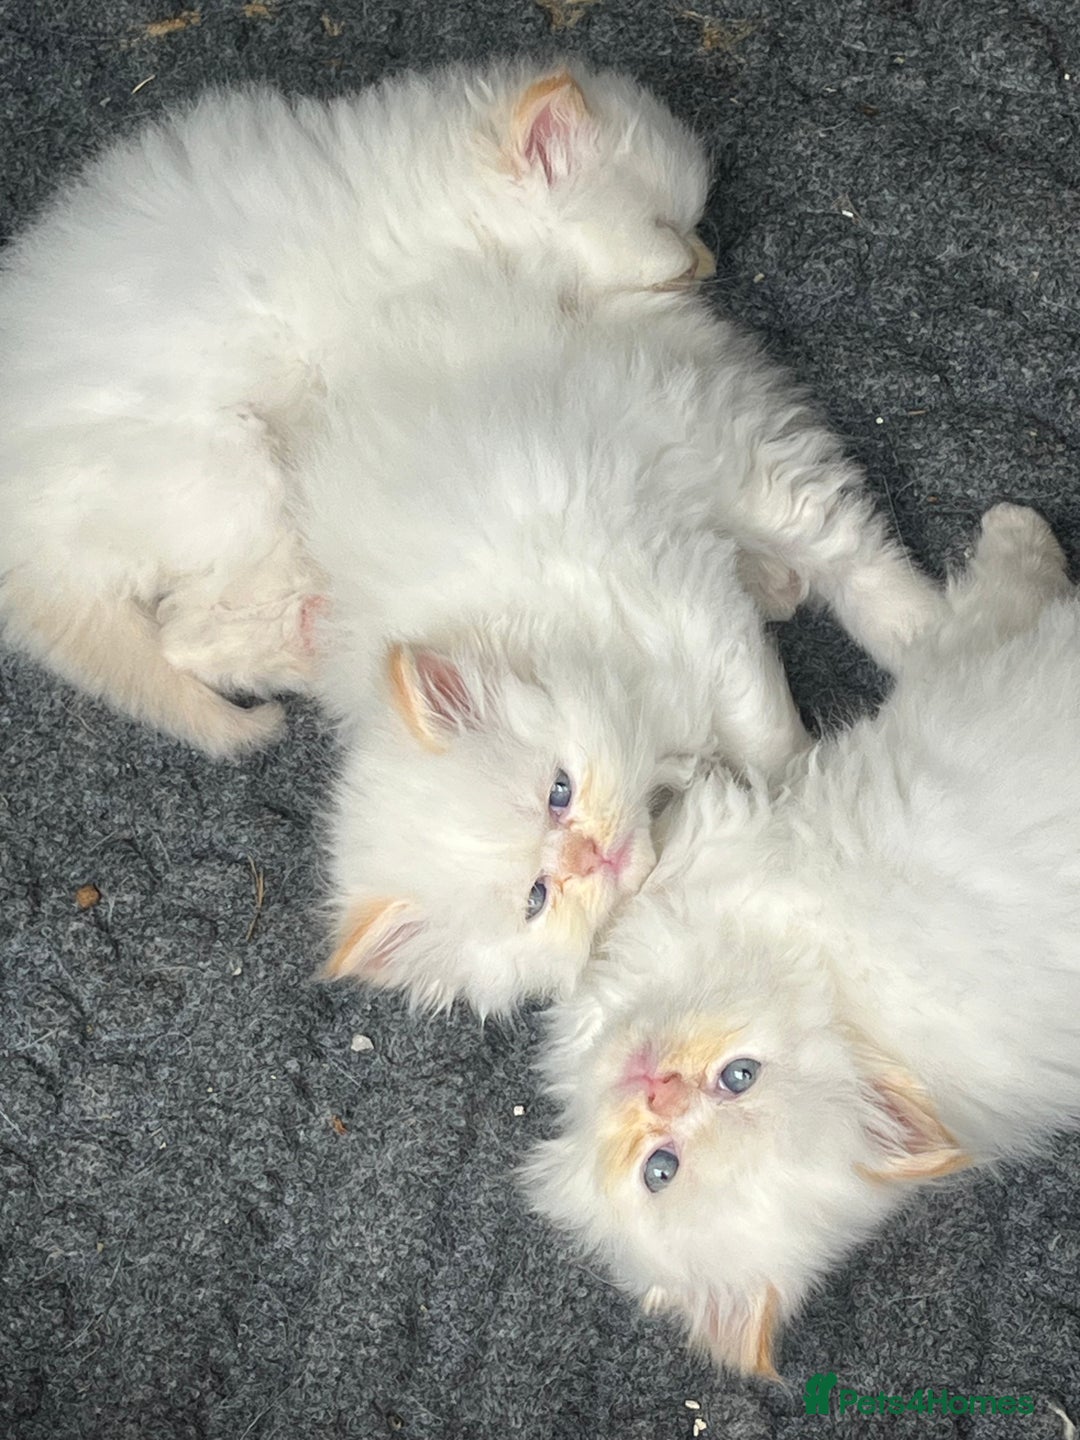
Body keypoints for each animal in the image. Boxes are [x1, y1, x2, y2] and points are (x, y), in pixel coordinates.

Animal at [0, 58, 715, 758]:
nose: (702, 264)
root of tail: (29, 558)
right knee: (191, 633)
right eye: (665, 227)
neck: (454, 214)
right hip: (230, 475)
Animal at [524, 502, 1080, 1370]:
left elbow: (987, 604)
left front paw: (1017, 532)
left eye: (738, 1079)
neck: (836, 995)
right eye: (660, 1169)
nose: (657, 1090)